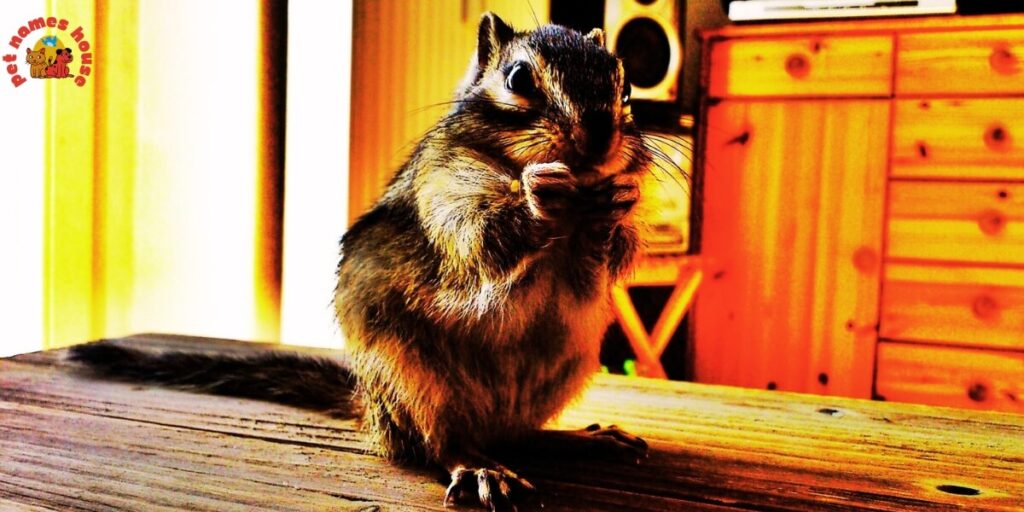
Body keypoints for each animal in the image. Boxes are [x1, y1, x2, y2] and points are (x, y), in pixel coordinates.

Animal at [70, 12, 654, 511]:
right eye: (517, 77)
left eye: (625, 85)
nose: (600, 135)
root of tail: (371, 411)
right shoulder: (442, 194)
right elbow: (477, 238)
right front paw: (537, 193)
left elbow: (609, 258)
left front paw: (615, 206)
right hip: (415, 383)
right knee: (439, 443)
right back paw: (479, 466)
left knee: (524, 436)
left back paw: (585, 439)